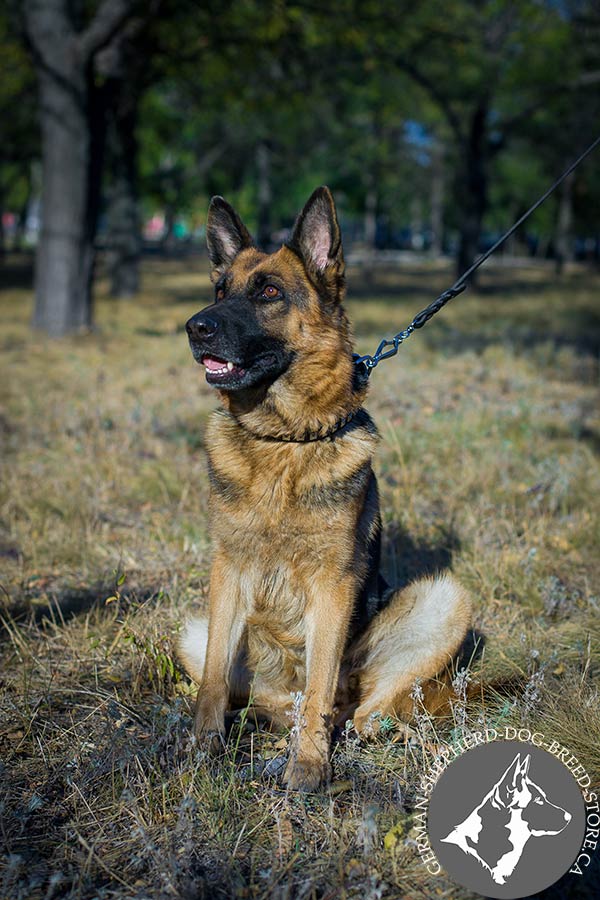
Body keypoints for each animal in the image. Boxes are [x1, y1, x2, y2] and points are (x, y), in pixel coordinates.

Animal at [180, 188, 472, 788]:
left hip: (443, 602)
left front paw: (310, 765)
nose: (195, 327)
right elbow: (214, 680)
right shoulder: (228, 572)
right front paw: (203, 745)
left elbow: (319, 682)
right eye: (220, 291)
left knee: (357, 707)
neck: (284, 440)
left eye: (268, 292)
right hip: (194, 631)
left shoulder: (333, 586)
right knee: (267, 699)